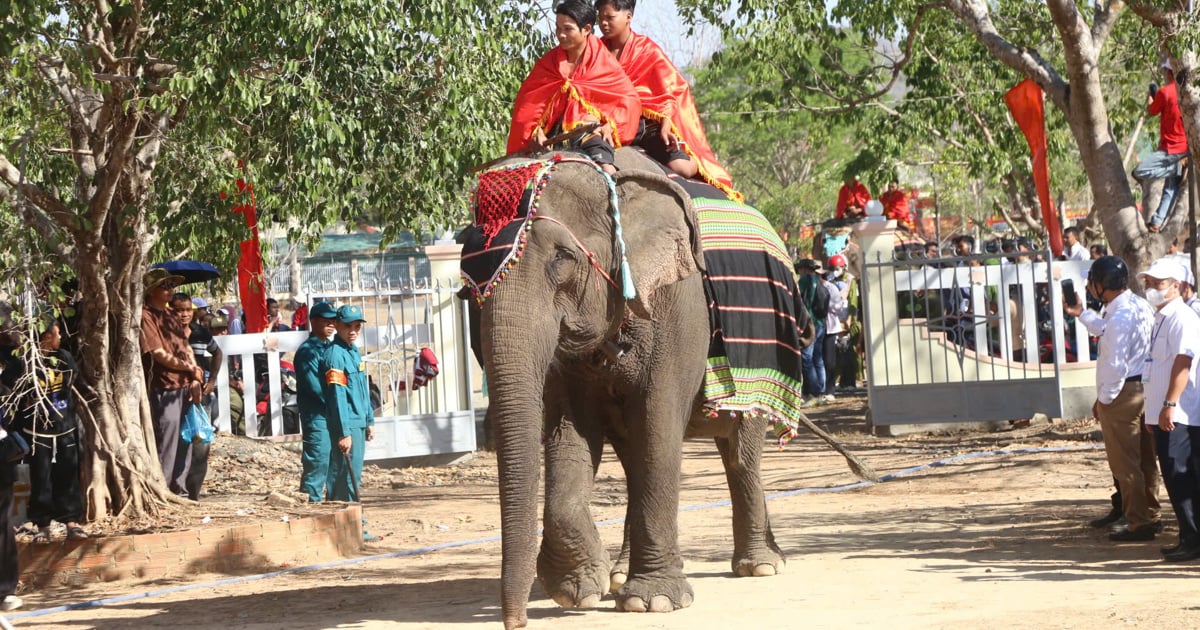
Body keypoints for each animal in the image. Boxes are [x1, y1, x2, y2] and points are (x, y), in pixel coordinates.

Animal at [458, 148, 816, 628]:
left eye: (562, 258)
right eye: (465, 282)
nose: (516, 622)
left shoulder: (678, 310)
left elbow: (658, 427)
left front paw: (653, 602)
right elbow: (569, 432)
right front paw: (577, 588)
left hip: (765, 355)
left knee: (740, 450)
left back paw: (759, 565)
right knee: (637, 462)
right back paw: (619, 574)